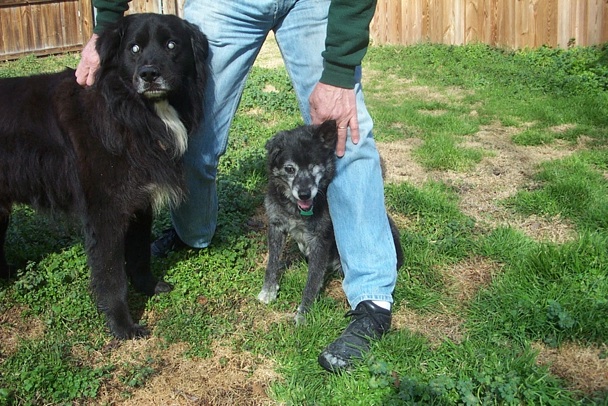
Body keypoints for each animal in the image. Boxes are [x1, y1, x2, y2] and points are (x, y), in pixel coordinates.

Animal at [0, 13, 208, 339]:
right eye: (134, 48)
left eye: (172, 45)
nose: (149, 75)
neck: (130, 109)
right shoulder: (105, 210)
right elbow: (112, 274)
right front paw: (123, 326)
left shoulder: (140, 200)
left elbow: (139, 254)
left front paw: (149, 288)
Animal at [257, 120, 403, 324]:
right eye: (289, 169)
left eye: (314, 166)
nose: (304, 194)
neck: (297, 209)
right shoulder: (276, 227)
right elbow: (272, 262)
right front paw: (269, 290)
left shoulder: (321, 240)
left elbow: (312, 280)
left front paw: (303, 314)